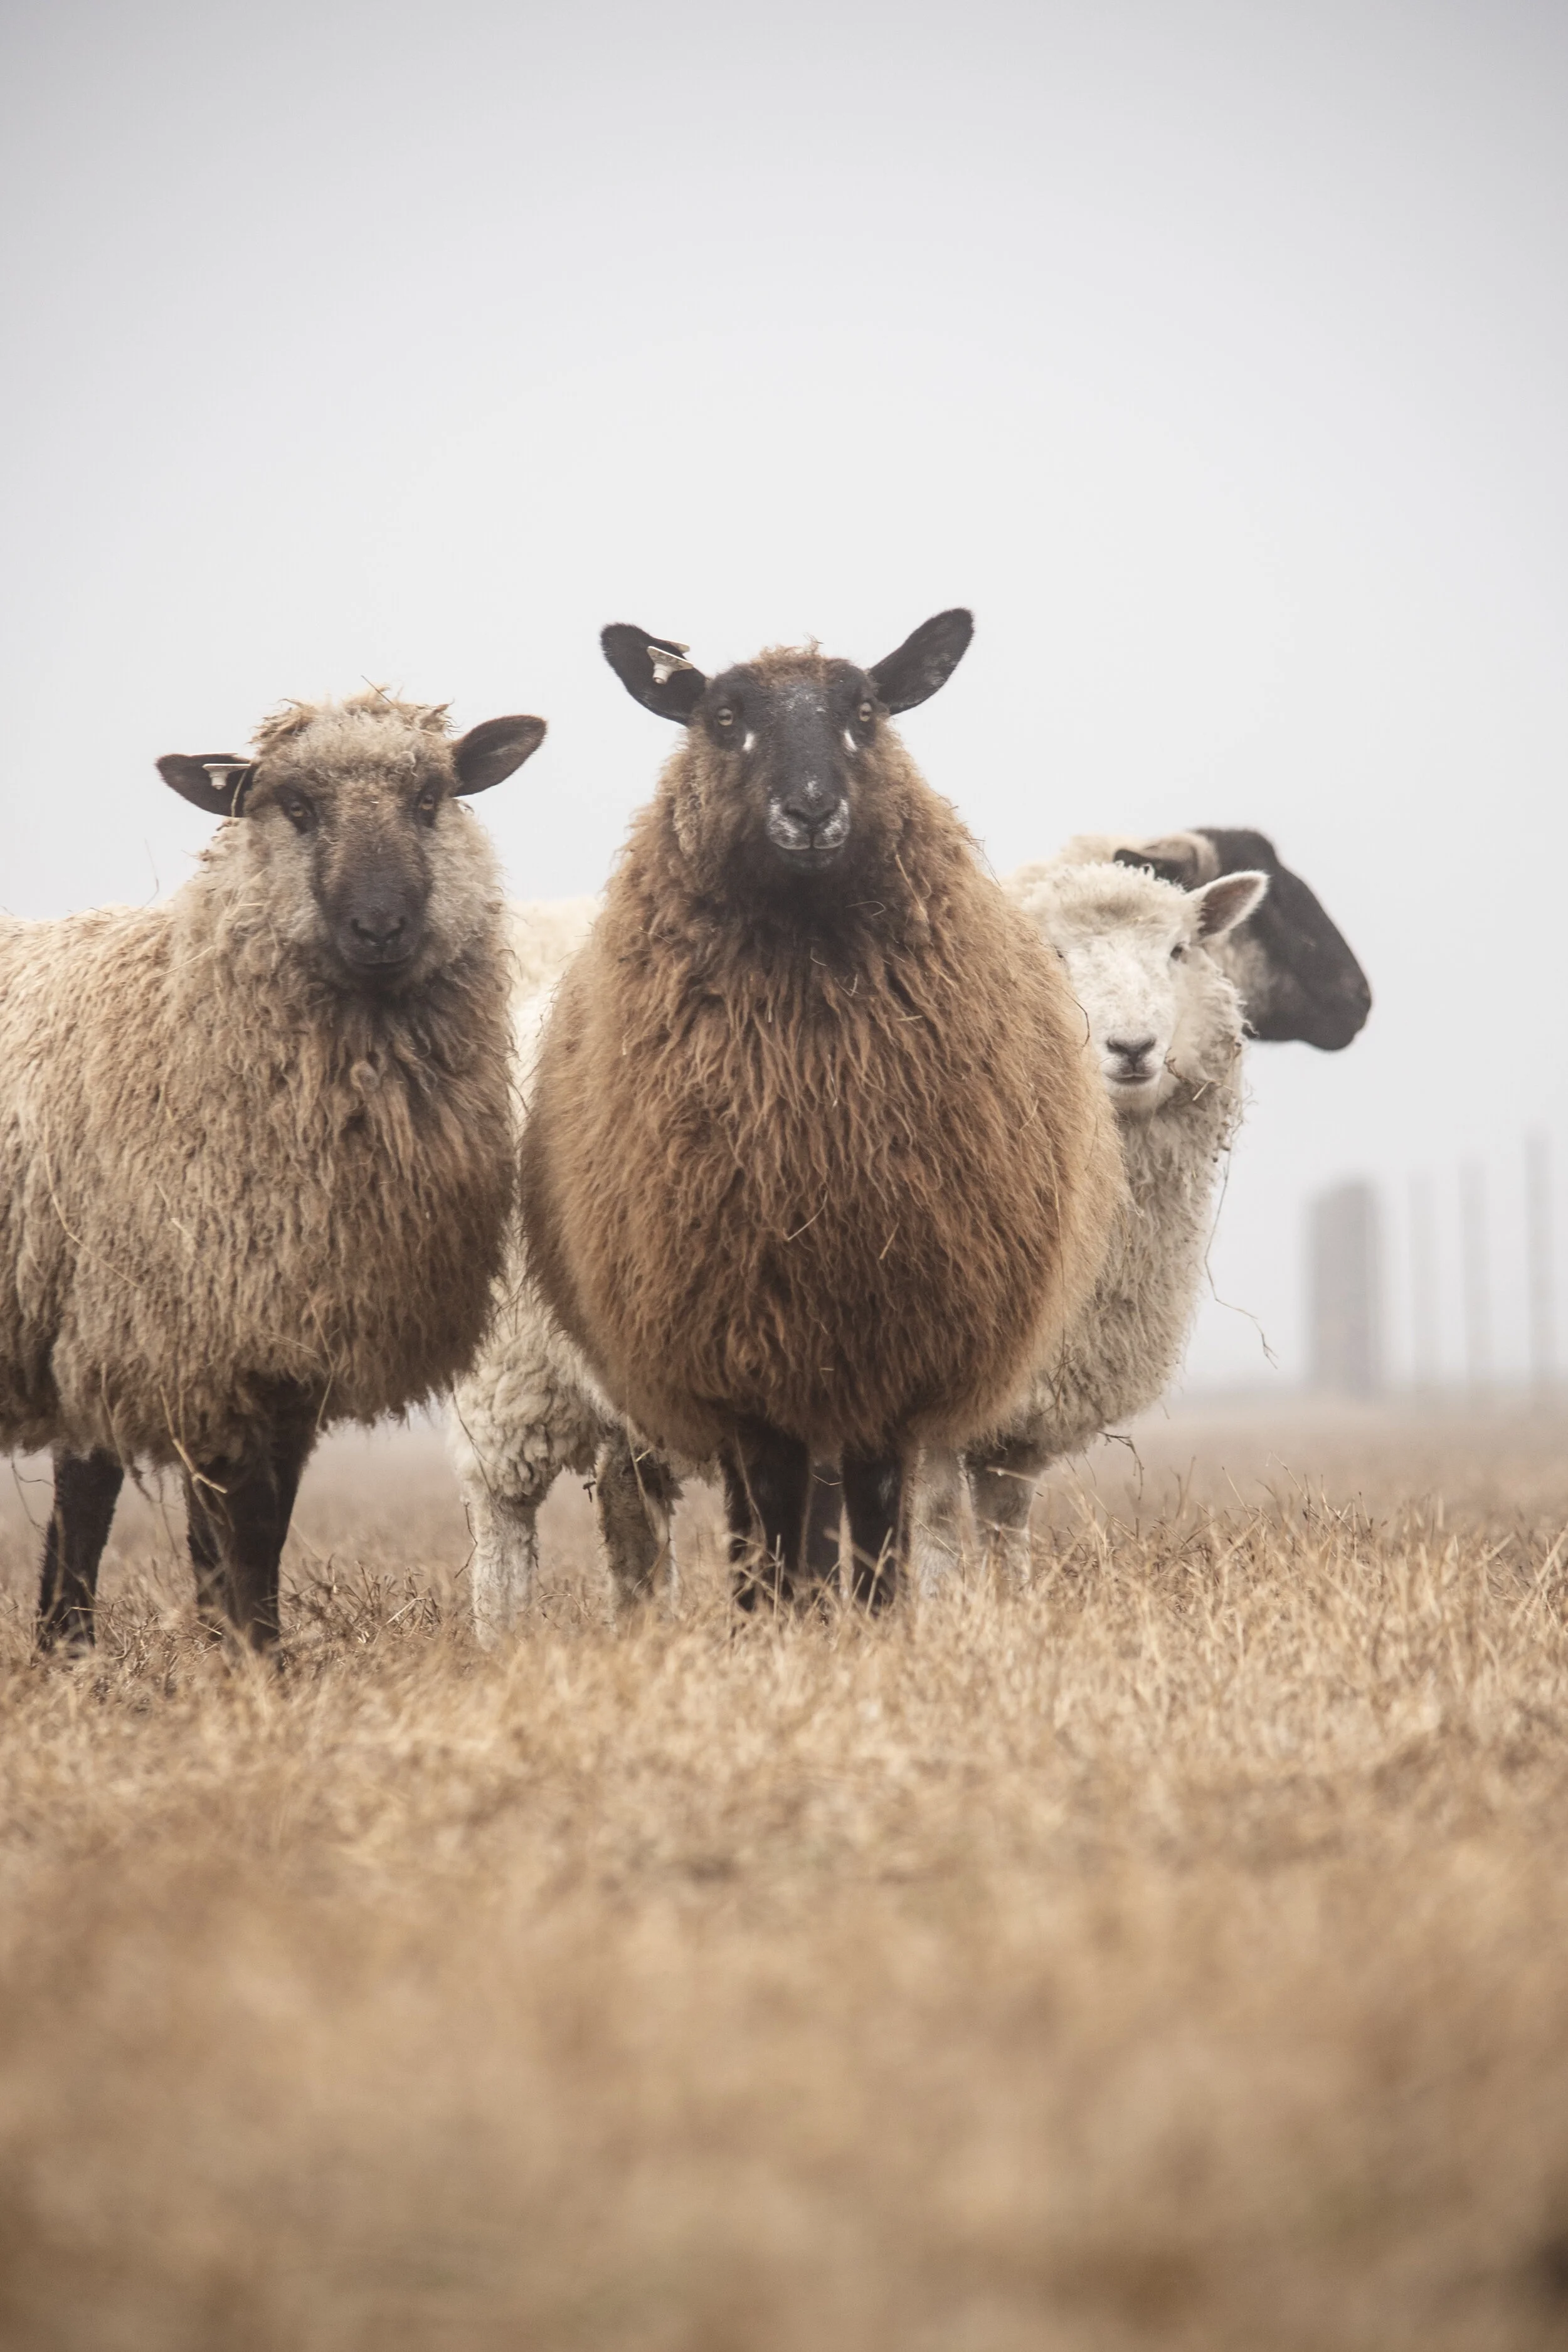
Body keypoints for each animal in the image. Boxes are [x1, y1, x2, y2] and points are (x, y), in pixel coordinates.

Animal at [16, 690, 546, 1651]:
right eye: (294, 806)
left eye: (429, 799)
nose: (380, 928)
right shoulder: (184, 1337)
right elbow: (237, 1526)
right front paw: (255, 1662)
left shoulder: (270, 1346)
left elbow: (242, 1529)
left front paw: (230, 1650)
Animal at [516, 612, 1122, 1609]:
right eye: (724, 716)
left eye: (866, 710)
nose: (808, 811)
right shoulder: (741, 1357)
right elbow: (765, 1516)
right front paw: (767, 1624)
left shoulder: (891, 1351)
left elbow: (876, 1521)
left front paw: (873, 1622)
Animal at [912, 856, 1268, 1586]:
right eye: (1048, 953)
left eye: (1178, 950)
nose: (1132, 1047)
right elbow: (935, 1516)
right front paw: (934, 1608)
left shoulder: (1028, 1402)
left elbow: (1005, 1520)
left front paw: (1010, 1602)